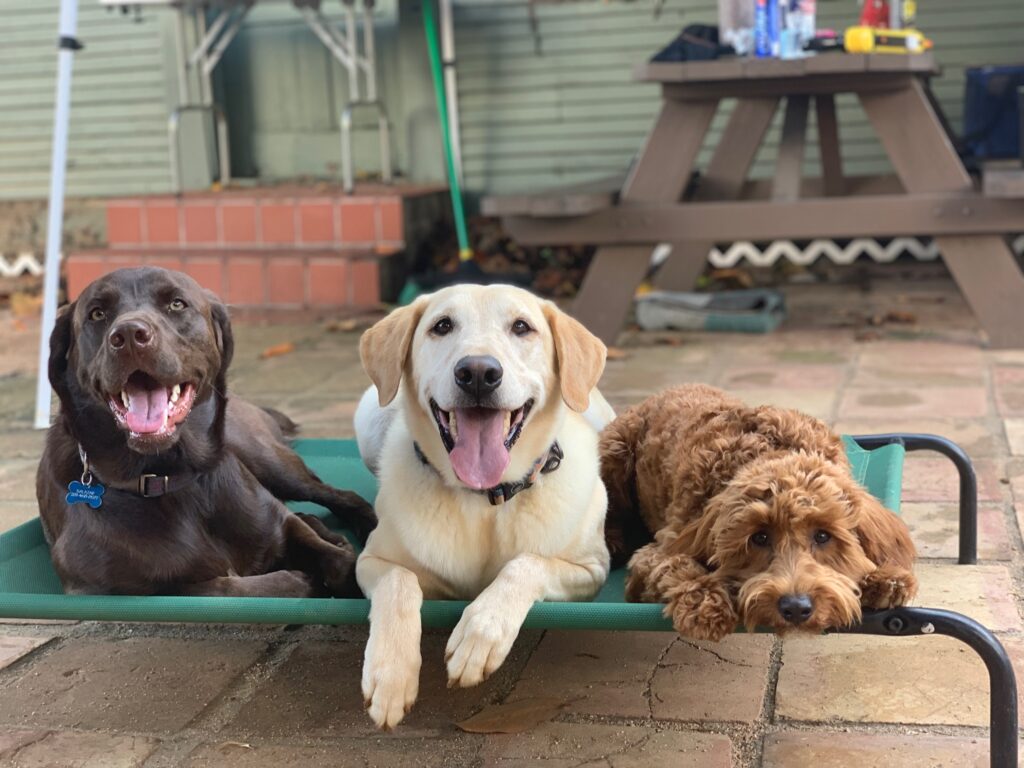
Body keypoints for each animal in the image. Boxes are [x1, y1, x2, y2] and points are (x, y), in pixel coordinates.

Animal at [598, 385, 921, 643]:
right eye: (759, 538)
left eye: (822, 536)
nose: (796, 608)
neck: (774, 452)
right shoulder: (661, 548)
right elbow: (678, 566)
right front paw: (707, 606)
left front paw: (884, 578)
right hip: (613, 453)